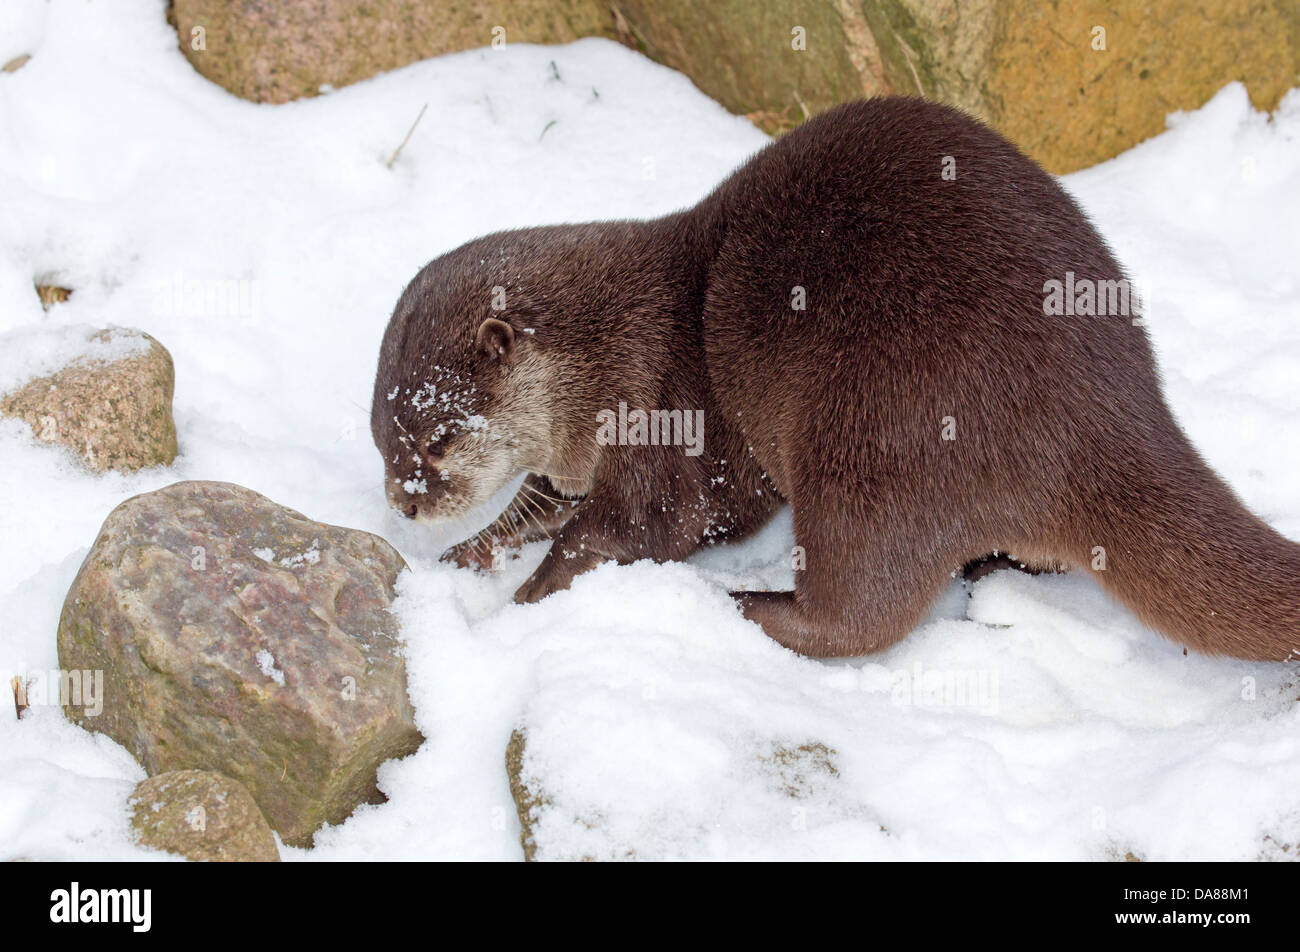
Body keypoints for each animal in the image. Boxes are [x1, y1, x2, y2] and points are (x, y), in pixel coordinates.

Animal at [371, 96, 1300, 660]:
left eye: (440, 437)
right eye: (384, 442)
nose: (405, 503)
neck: (610, 351)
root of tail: (1111, 410)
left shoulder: (664, 411)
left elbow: (641, 529)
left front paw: (521, 607)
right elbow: (537, 508)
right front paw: (466, 553)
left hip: (878, 434)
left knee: (861, 610)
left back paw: (745, 603)